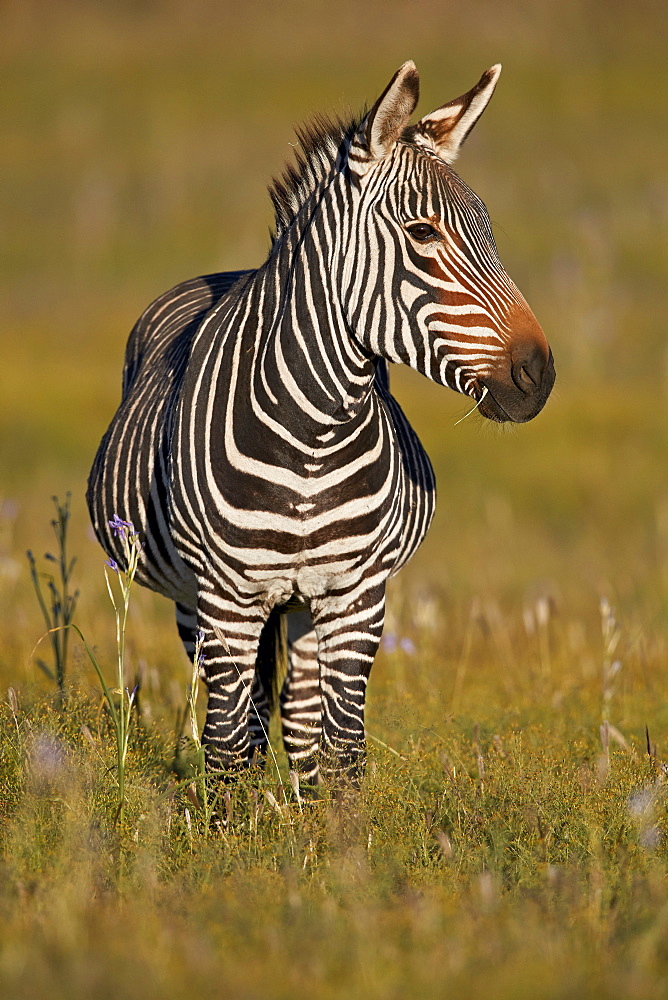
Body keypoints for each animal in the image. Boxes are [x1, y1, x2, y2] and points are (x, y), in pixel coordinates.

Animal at [90, 62, 560, 788]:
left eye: (487, 229)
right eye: (423, 233)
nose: (539, 373)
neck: (314, 436)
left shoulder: (357, 595)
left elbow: (341, 750)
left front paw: (332, 824)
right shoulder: (226, 598)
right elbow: (228, 748)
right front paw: (232, 822)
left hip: (301, 605)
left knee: (298, 714)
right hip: (195, 604)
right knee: (248, 717)